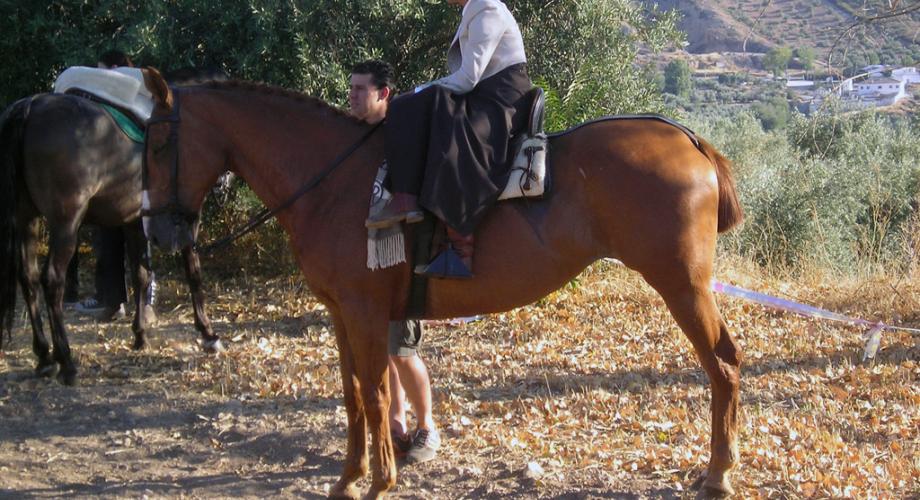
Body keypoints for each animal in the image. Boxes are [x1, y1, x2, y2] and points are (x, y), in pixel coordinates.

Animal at [1, 68, 225, 384]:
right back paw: (66, 361)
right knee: (52, 280)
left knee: (29, 279)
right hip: (65, 225)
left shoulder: (134, 222)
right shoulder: (183, 220)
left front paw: (140, 335)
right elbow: (193, 272)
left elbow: (141, 275)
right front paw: (207, 333)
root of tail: (31, 106)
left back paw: (44, 357)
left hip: (26, 220)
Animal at [142, 75, 748, 500]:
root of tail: (689, 141)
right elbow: (354, 394)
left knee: (723, 363)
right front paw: (348, 477)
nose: (155, 229)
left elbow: (376, 392)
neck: (335, 182)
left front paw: (380, 480)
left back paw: (717, 473)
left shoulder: (364, 311)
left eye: (158, 143)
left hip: (683, 286)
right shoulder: (341, 313)